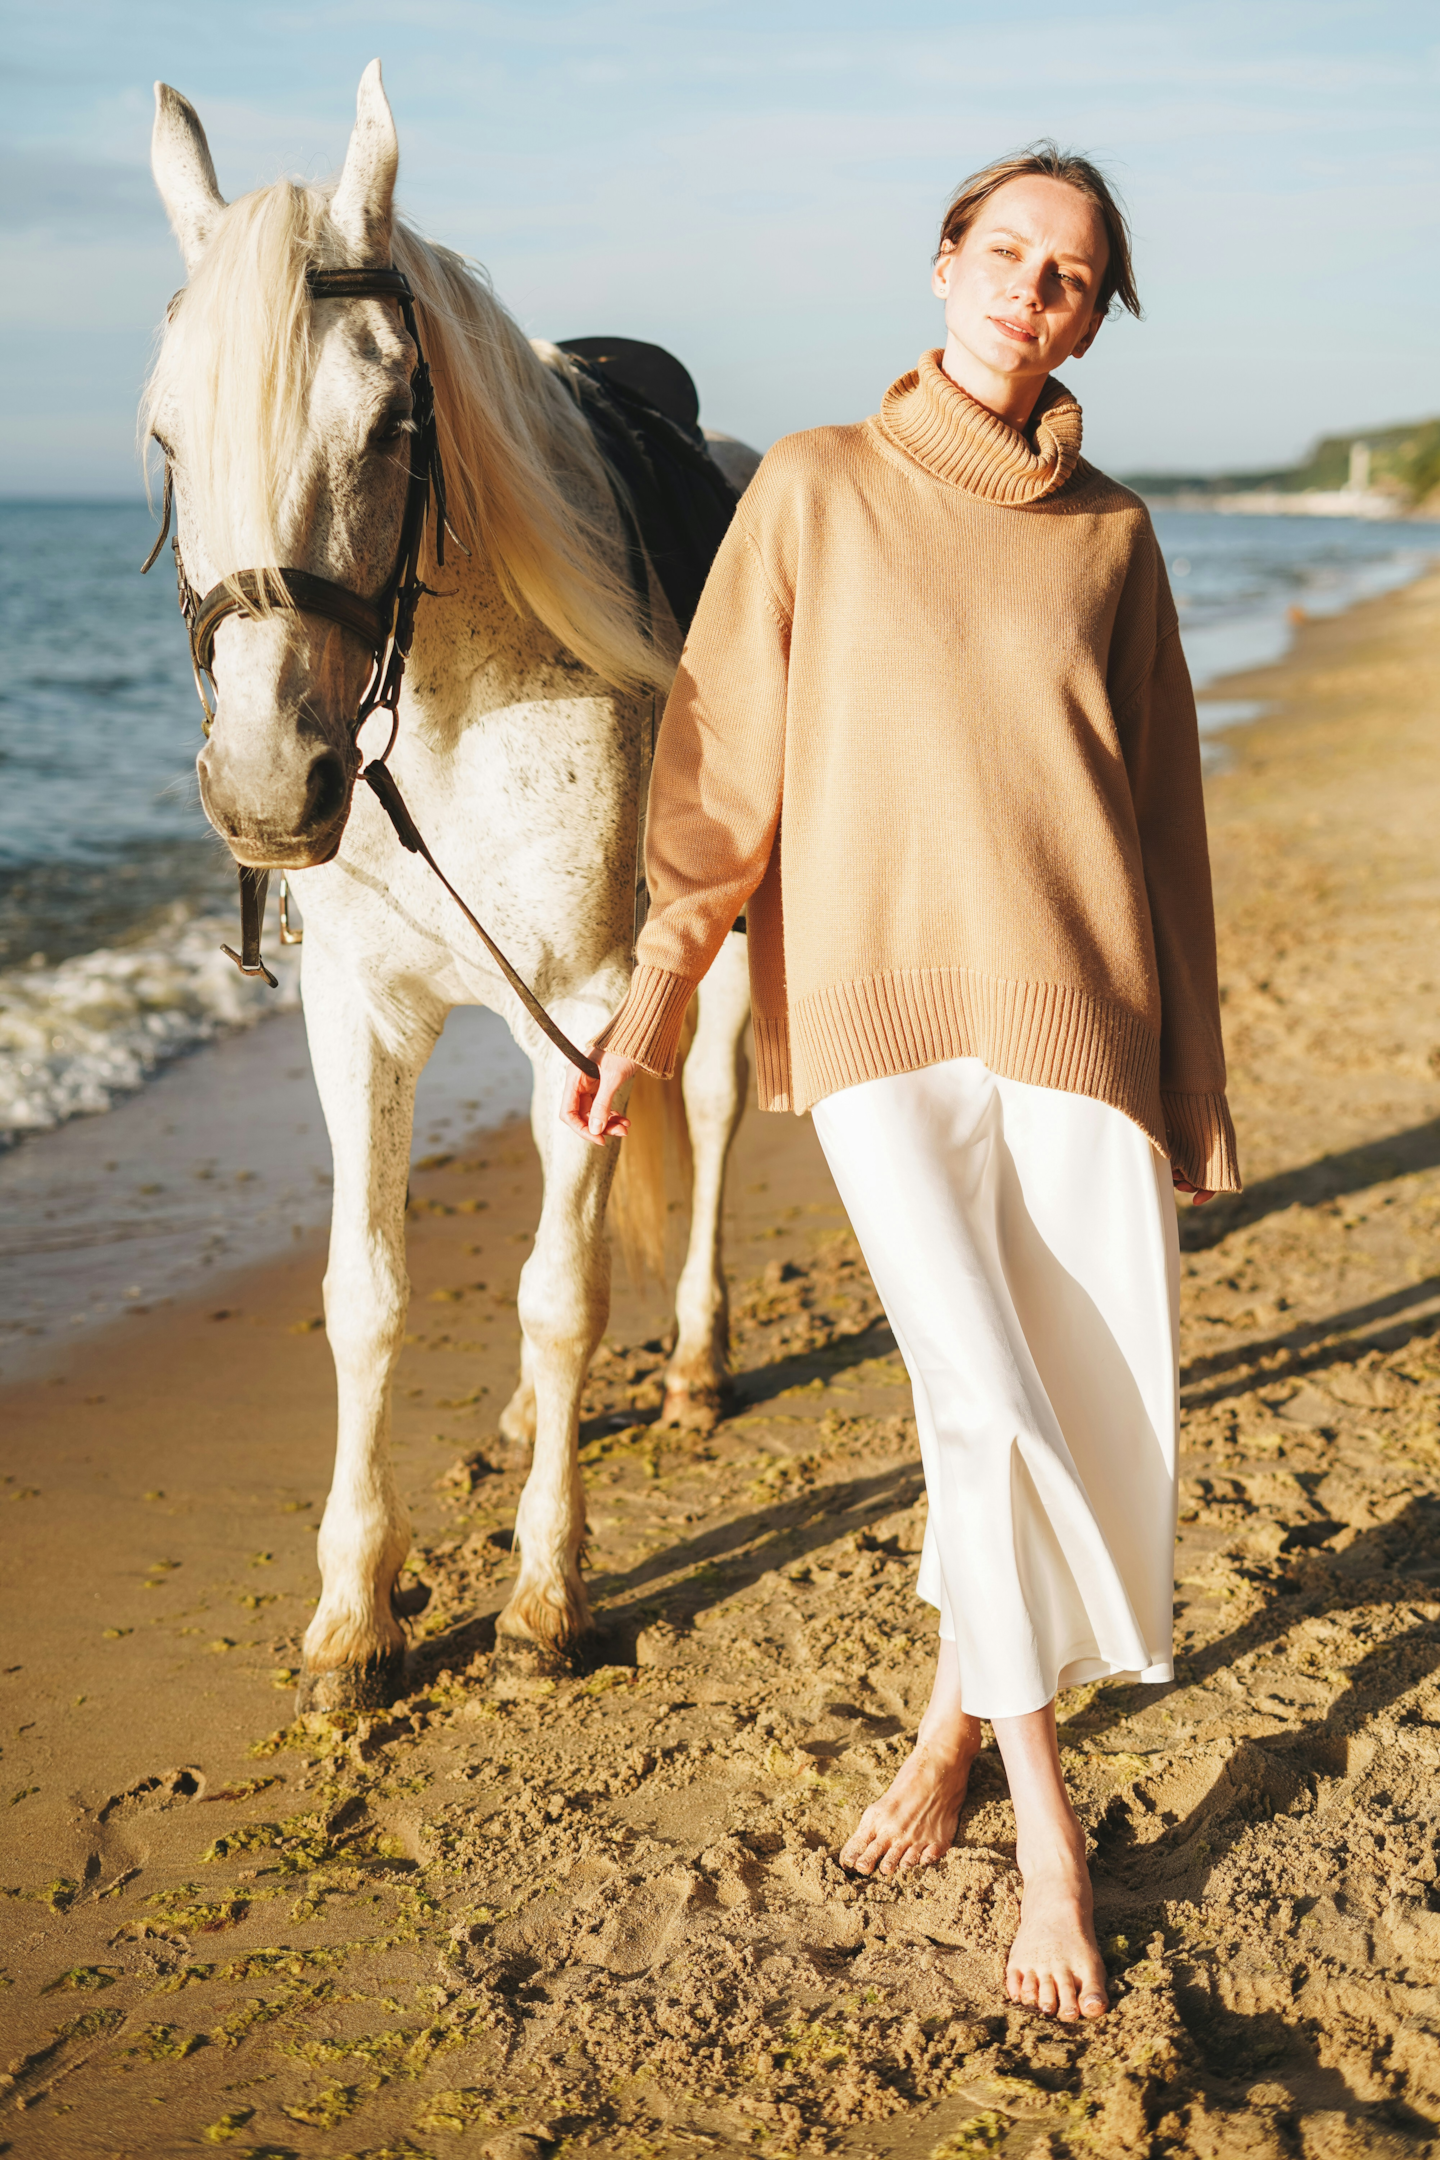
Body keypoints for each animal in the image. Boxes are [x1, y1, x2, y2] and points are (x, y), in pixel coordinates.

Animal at [146, 63, 759, 1702]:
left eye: (387, 424)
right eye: (165, 438)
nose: (264, 784)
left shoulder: (599, 1006)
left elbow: (559, 1296)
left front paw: (547, 1596)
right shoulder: (362, 1012)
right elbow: (366, 1297)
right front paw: (355, 1608)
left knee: (714, 1117)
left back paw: (694, 1365)